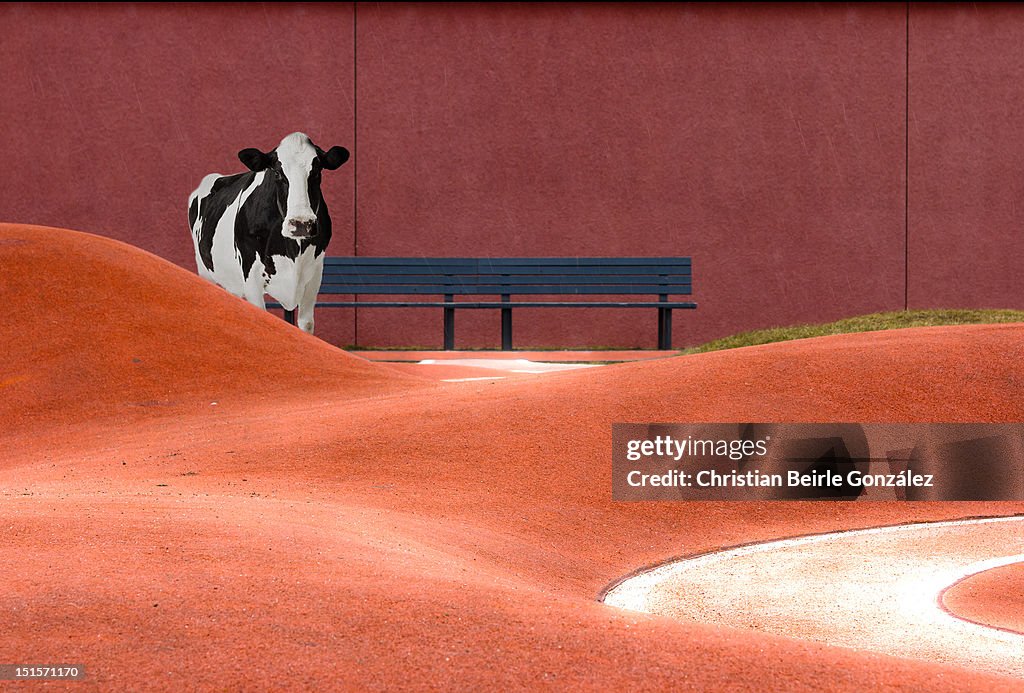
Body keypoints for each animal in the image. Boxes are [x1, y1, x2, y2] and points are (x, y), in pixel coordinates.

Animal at [190, 134, 350, 333]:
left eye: (317, 172)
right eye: (277, 173)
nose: (301, 223)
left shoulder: (314, 274)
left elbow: (306, 324)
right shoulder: (251, 274)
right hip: (204, 269)